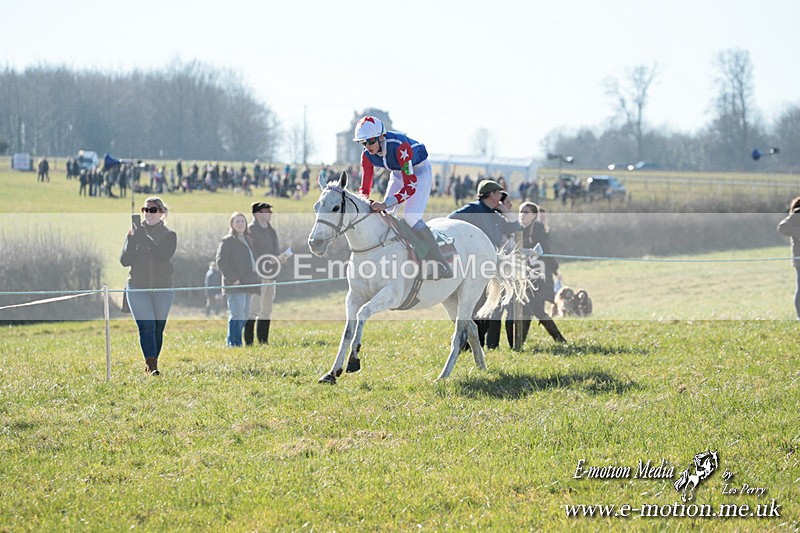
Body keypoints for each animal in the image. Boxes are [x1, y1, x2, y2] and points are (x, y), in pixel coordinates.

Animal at [307, 170, 527, 384]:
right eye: (316, 206)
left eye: (336, 207)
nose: (314, 243)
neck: (373, 248)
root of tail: (486, 241)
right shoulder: (354, 296)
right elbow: (347, 331)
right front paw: (332, 372)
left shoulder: (392, 295)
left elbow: (363, 313)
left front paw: (354, 359)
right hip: (449, 298)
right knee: (471, 327)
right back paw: (481, 365)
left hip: (469, 293)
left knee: (459, 334)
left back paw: (443, 375)